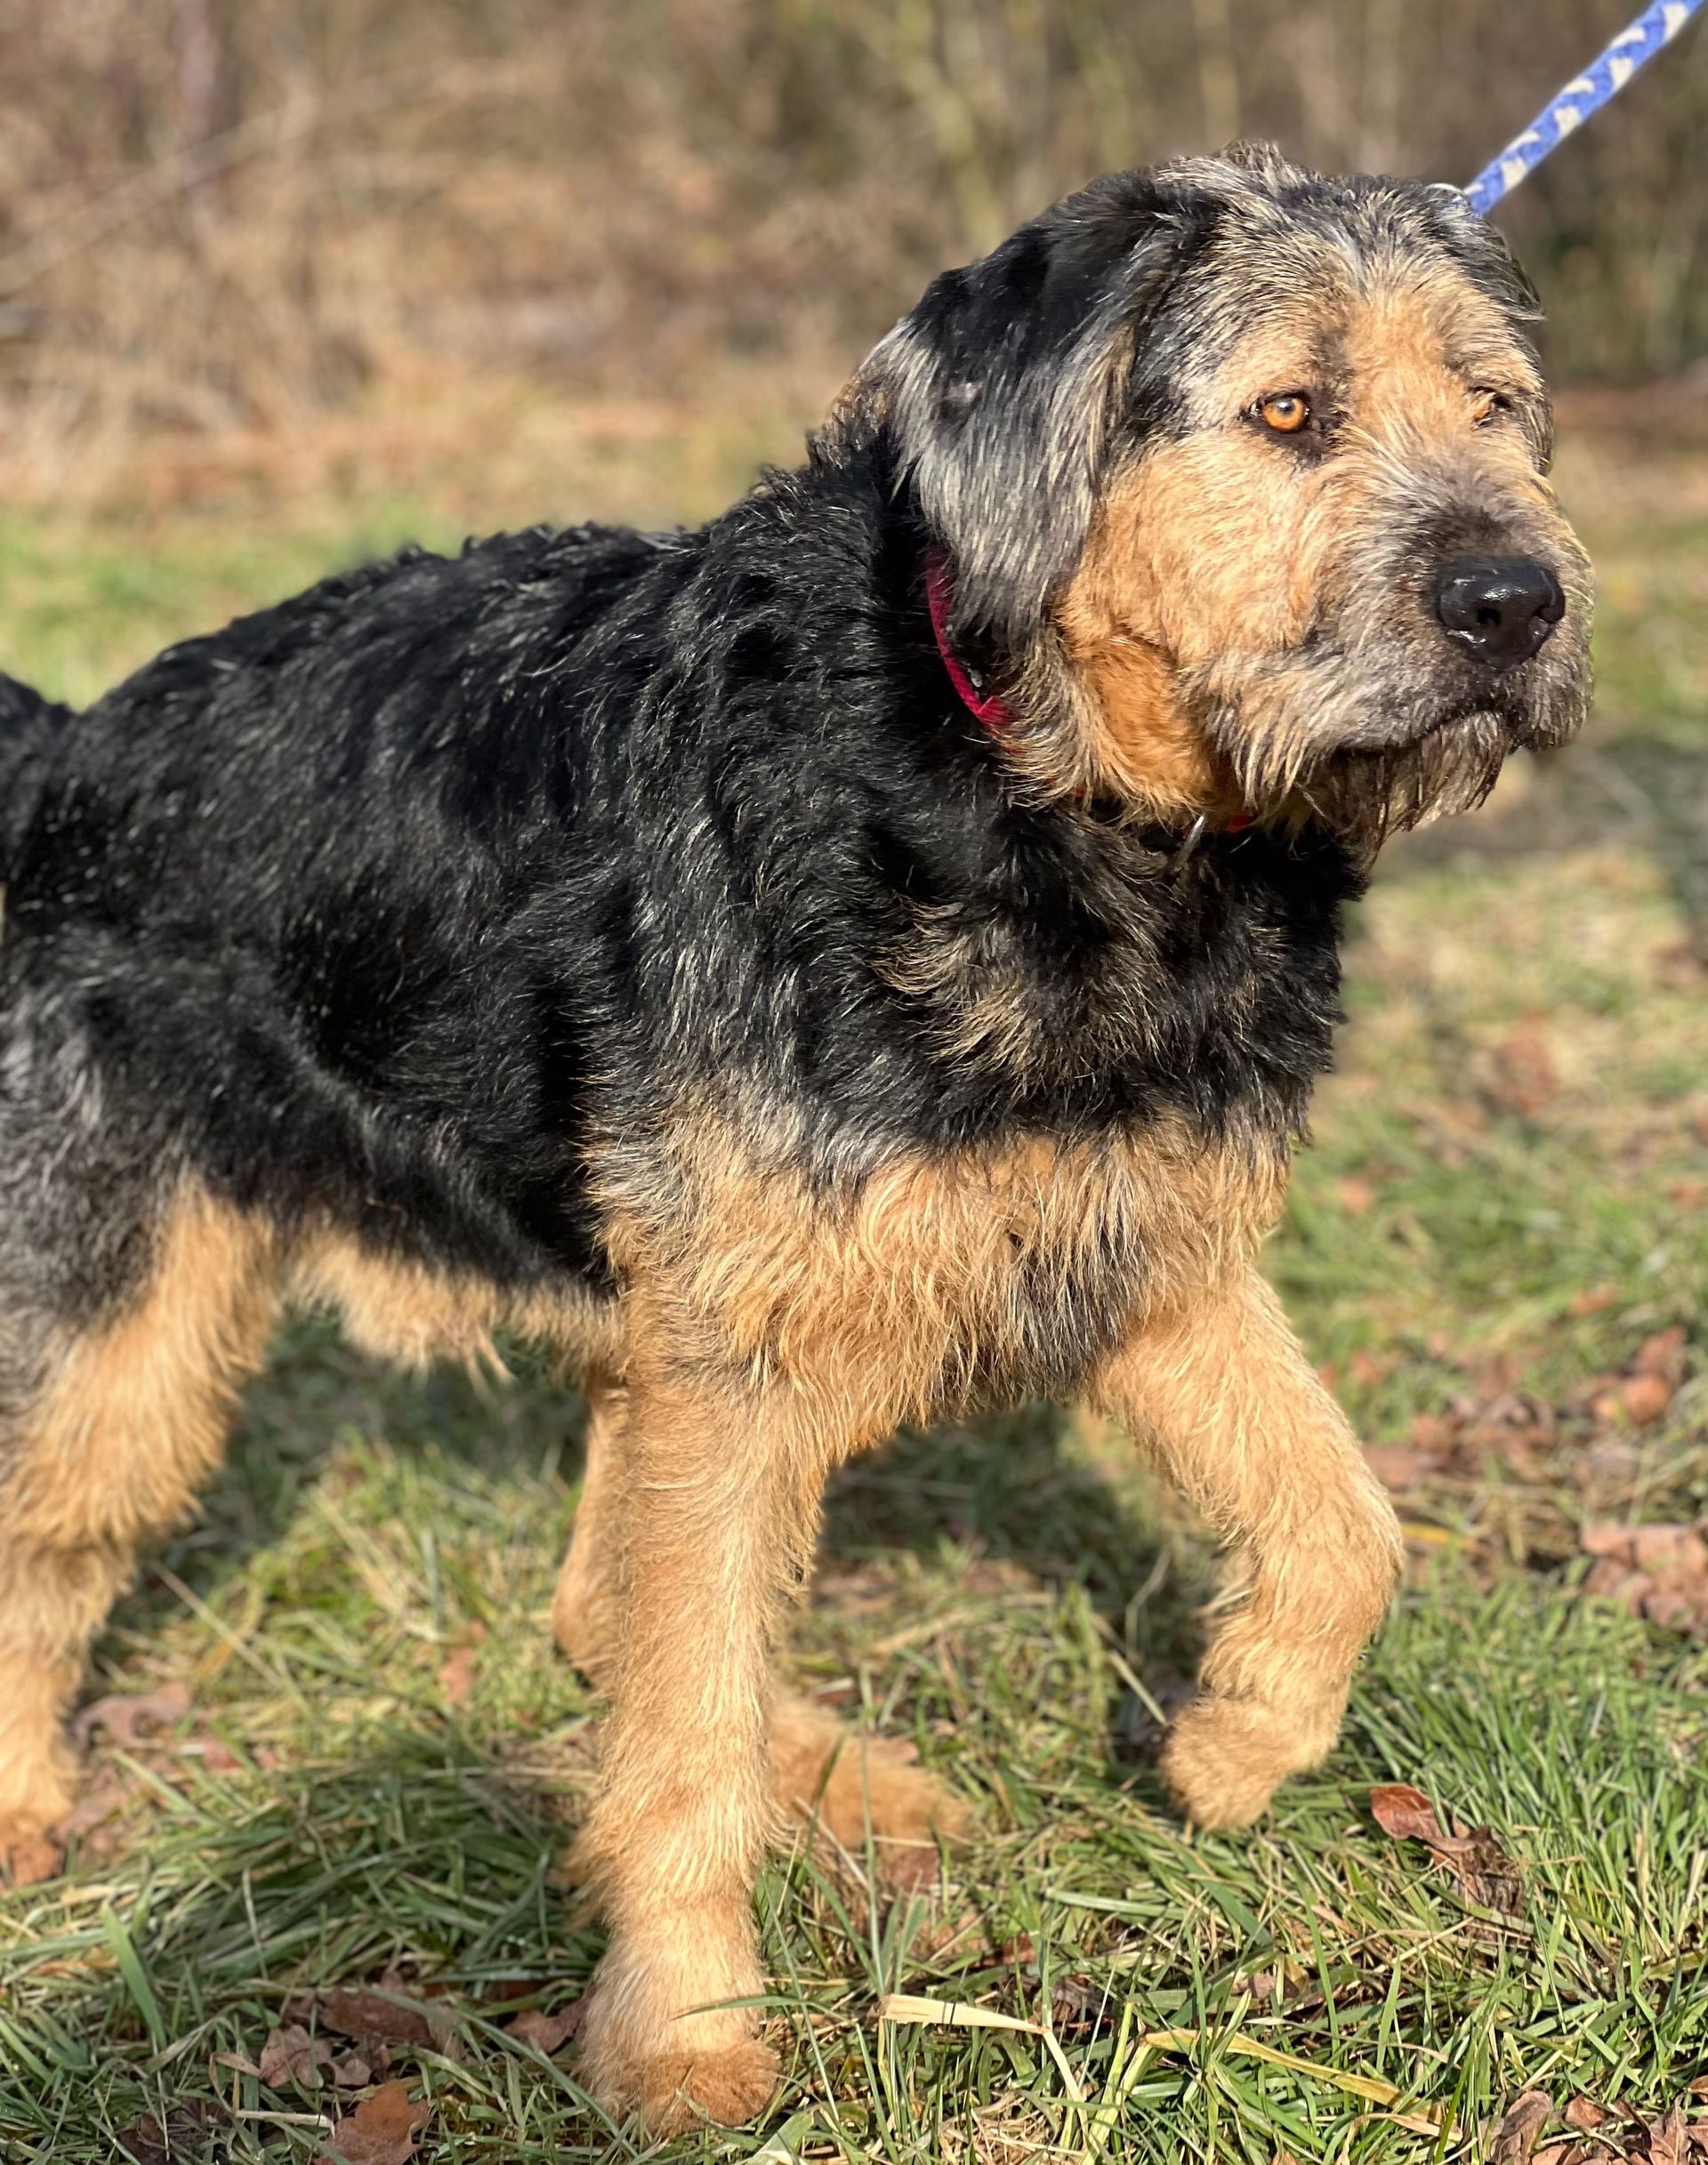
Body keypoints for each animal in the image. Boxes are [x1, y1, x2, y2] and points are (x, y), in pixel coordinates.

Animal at [0, 144, 1589, 2132]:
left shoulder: (1137, 1249)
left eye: (1497, 406)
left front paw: (1234, 1741)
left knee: (615, 1610)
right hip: (132, 1323)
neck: (1042, 798)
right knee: (74, 1541)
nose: (1518, 601)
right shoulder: (751, 1351)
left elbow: (1342, 1517)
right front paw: (684, 2032)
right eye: (1291, 411)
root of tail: (68, 753)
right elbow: (683, 1743)